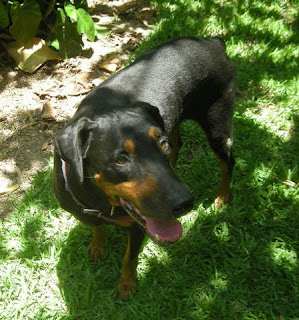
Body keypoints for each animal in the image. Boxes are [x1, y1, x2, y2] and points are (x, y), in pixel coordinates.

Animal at [53, 37, 237, 300]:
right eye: (121, 160)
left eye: (161, 144)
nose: (185, 203)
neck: (102, 202)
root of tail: (213, 41)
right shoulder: (85, 212)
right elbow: (97, 228)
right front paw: (98, 245)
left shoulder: (138, 227)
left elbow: (129, 258)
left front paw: (126, 285)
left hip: (217, 124)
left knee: (227, 161)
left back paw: (222, 197)